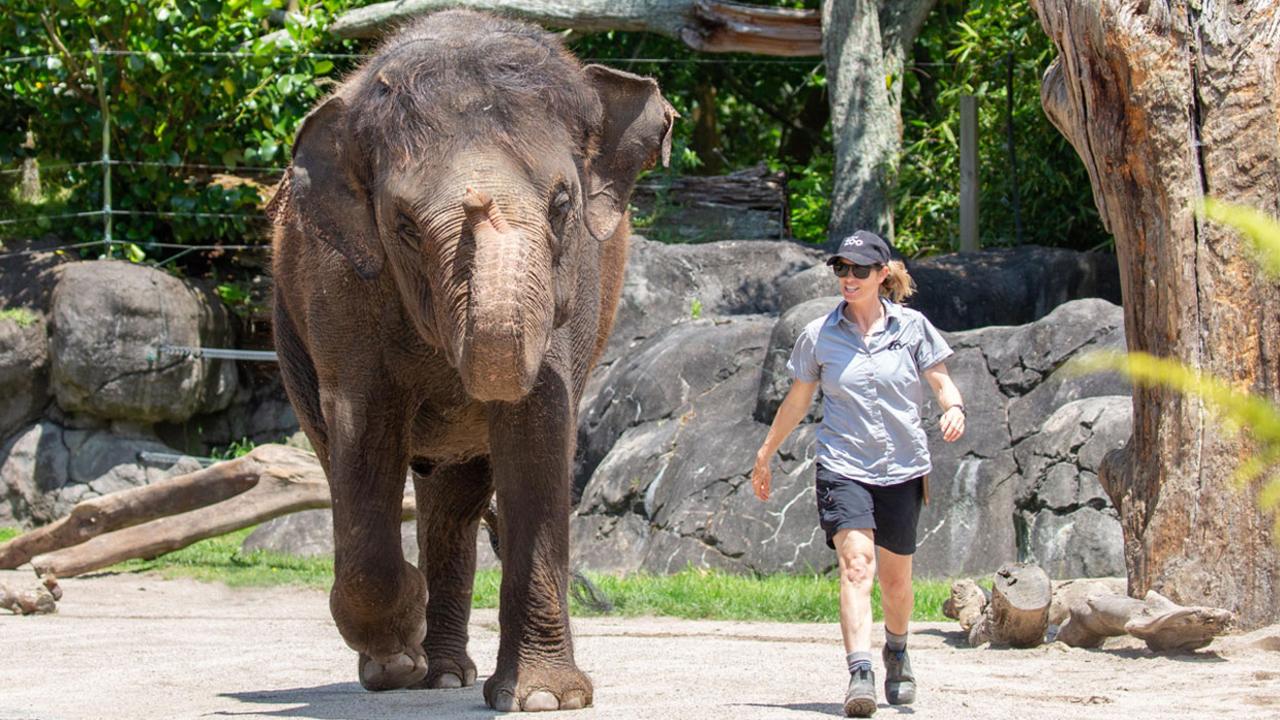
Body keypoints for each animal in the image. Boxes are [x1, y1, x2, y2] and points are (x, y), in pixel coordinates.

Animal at [266, 11, 675, 712]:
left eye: (562, 205)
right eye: (403, 223)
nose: (480, 205)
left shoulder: (576, 284)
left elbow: (539, 424)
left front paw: (541, 700)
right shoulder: (338, 287)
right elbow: (362, 427)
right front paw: (397, 650)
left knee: (454, 502)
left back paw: (448, 672)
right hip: (290, 334)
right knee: (379, 477)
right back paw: (423, 671)